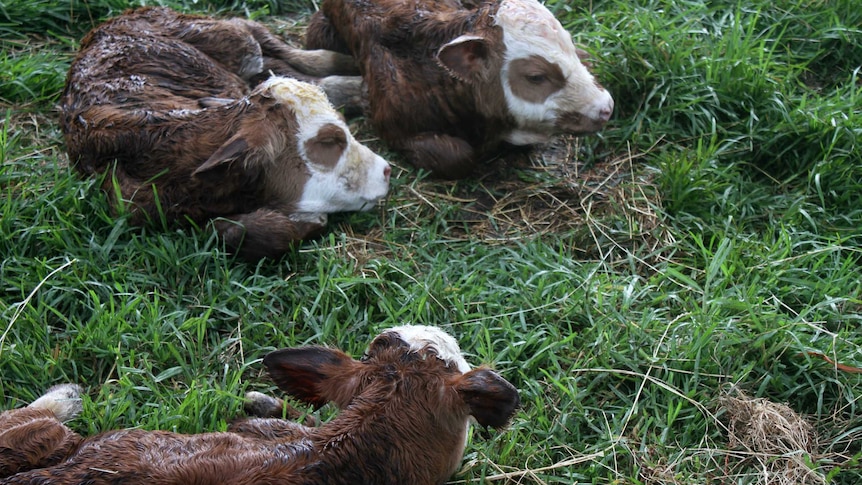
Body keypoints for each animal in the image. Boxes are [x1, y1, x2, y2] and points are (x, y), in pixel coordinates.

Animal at [308, 0, 616, 177]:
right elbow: (459, 157)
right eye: (536, 77)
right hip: (319, 31)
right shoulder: (392, 122)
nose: (606, 107)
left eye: (571, 46)